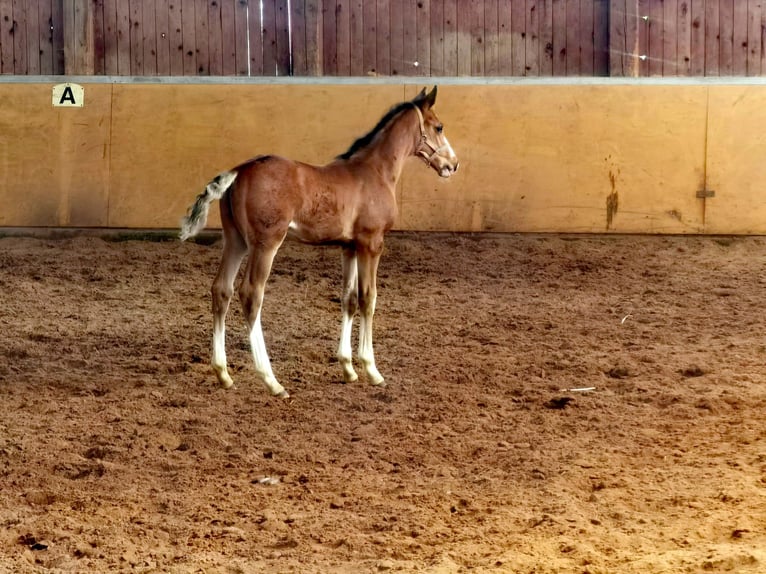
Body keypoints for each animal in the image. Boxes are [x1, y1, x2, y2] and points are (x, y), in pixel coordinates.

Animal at [179, 86, 459, 398]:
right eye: (439, 127)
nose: (453, 164)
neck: (375, 171)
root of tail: (240, 169)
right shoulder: (372, 243)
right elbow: (368, 298)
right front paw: (372, 370)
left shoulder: (349, 247)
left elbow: (349, 299)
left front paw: (348, 369)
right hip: (266, 244)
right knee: (251, 294)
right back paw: (272, 381)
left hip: (235, 240)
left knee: (221, 290)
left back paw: (223, 374)